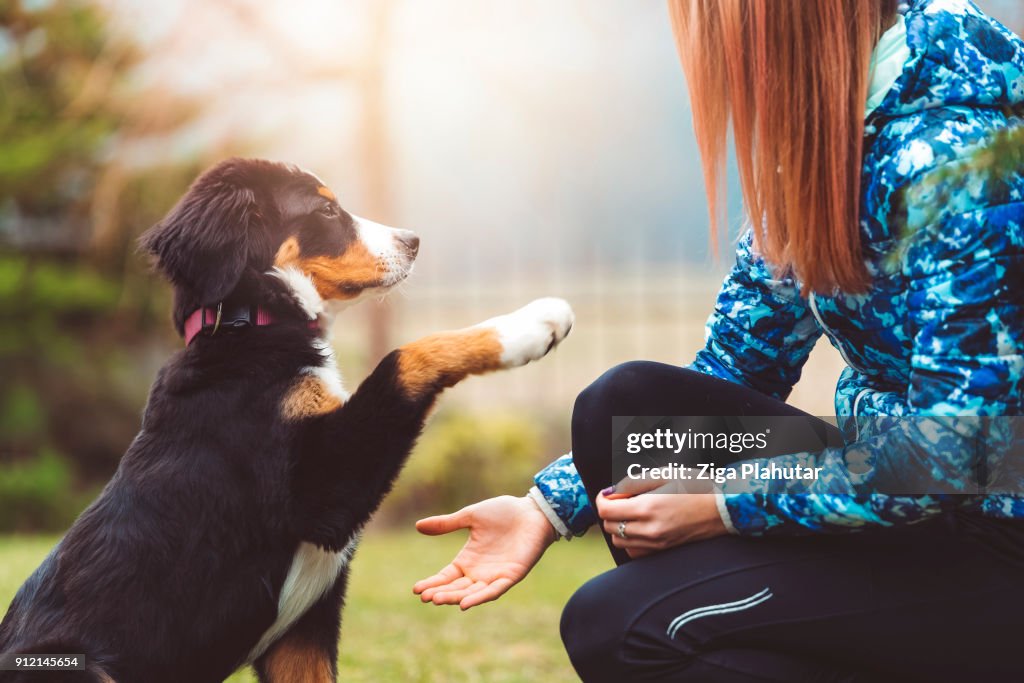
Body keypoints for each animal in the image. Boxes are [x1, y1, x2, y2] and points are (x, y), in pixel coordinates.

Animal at [0, 158, 577, 683]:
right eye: (324, 209)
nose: (413, 240)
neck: (247, 327)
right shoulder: (319, 490)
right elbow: (405, 355)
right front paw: (529, 325)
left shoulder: (302, 633)